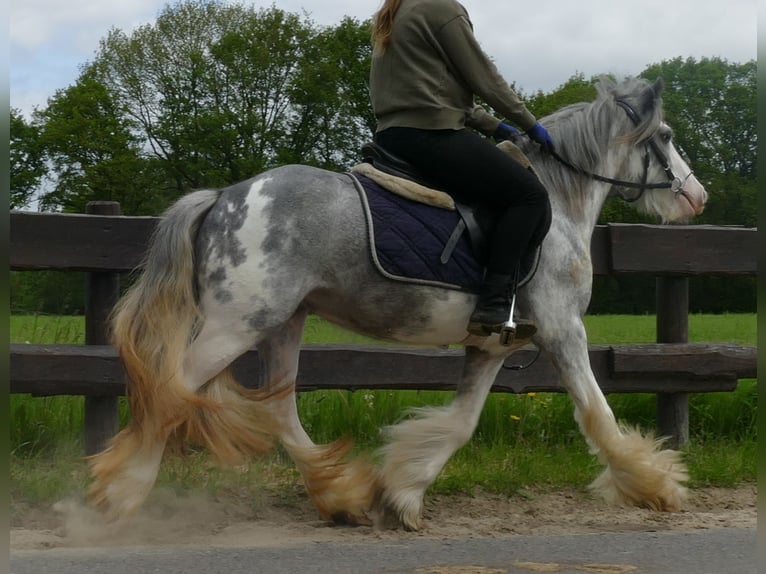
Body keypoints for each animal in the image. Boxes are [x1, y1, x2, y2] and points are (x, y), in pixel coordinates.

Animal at [88, 76, 708, 532]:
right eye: (667, 134)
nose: (697, 196)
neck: (557, 198)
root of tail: (223, 196)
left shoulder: (495, 344)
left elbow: (460, 422)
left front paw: (404, 493)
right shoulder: (562, 328)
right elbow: (598, 413)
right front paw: (658, 485)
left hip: (283, 323)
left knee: (277, 410)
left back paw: (341, 496)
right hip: (235, 325)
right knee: (169, 391)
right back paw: (117, 496)